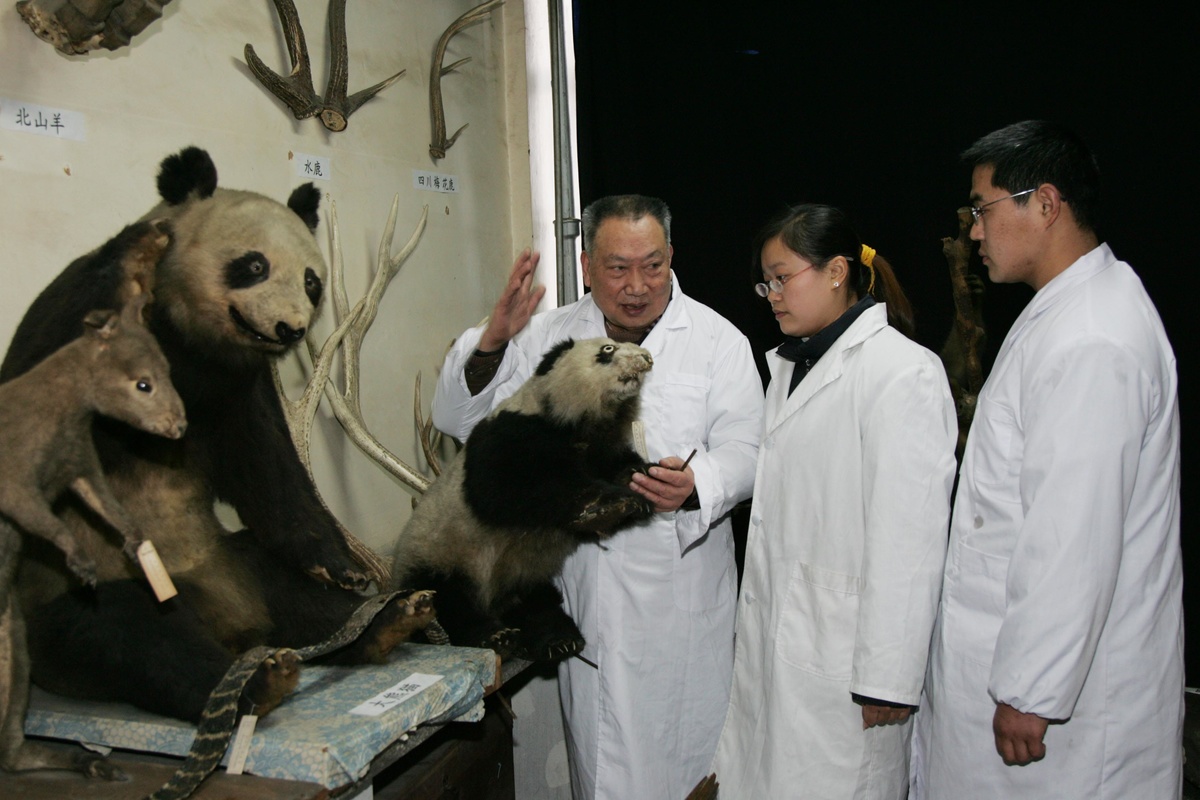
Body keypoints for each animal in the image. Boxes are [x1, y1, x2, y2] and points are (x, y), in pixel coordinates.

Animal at [0, 146, 432, 724]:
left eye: (311, 280)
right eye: (254, 265)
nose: (292, 329)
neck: (189, 341)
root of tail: (231, 625)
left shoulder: (236, 387)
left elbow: (269, 470)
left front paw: (341, 568)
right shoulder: (79, 326)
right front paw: (136, 248)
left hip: (238, 558)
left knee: (292, 591)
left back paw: (380, 620)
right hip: (93, 592)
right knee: (135, 639)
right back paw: (250, 685)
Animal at [391, 335, 657, 662]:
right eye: (608, 349)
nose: (646, 357)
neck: (574, 420)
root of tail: (495, 603)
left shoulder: (599, 446)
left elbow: (616, 465)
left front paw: (644, 481)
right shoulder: (512, 433)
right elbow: (507, 489)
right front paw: (610, 504)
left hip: (523, 574)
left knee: (537, 603)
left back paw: (558, 638)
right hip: (441, 554)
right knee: (448, 601)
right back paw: (495, 637)